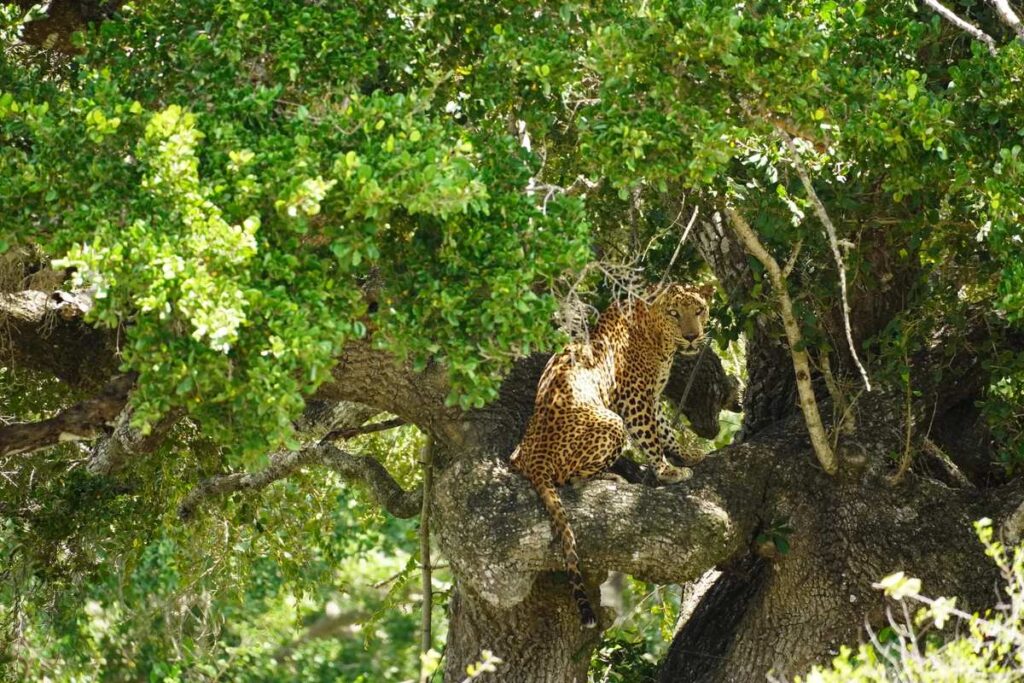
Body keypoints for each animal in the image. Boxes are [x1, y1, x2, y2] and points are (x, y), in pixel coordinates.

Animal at [510, 282, 715, 628]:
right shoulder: (634, 398)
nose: (691, 336)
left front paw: (687, 455)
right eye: (675, 313)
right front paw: (668, 471)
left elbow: (665, 429)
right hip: (611, 421)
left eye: (698, 310)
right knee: (572, 478)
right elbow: (650, 436)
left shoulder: (652, 398)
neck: (656, 334)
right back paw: (612, 476)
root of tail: (534, 460)